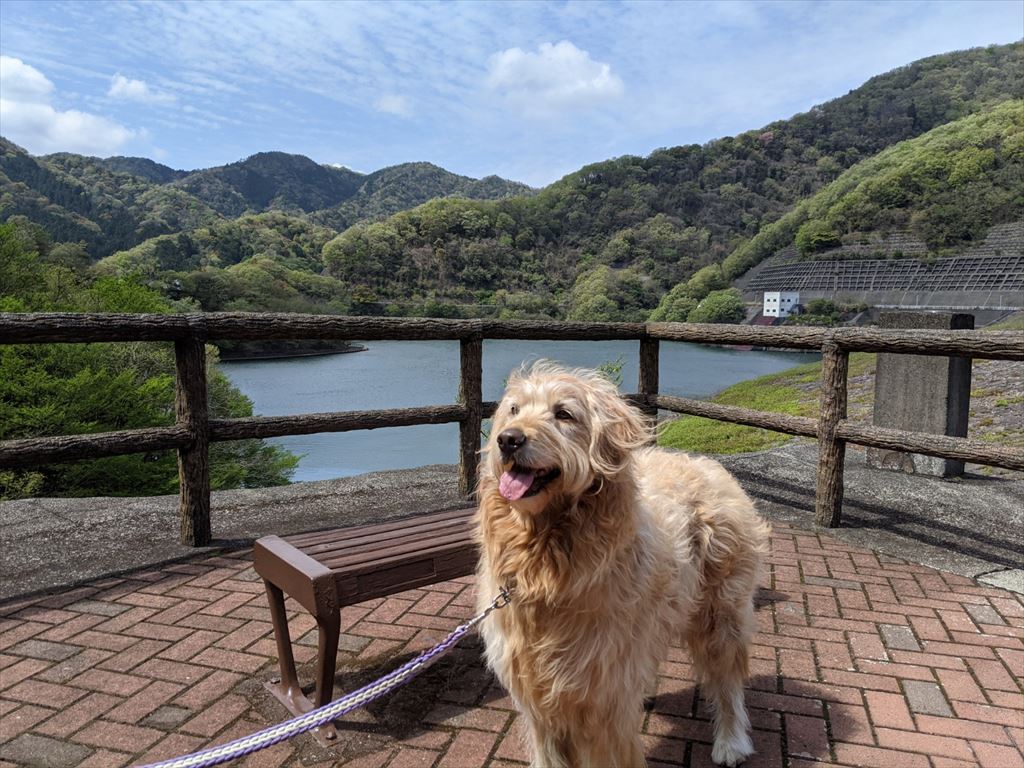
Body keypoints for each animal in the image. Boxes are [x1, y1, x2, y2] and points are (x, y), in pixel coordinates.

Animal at [473, 364, 770, 765]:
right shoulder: (534, 685)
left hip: (721, 611)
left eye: (563, 414)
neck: (546, 557)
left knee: (728, 679)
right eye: (514, 410)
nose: (508, 440)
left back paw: (731, 741)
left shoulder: (602, 695)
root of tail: (709, 465)